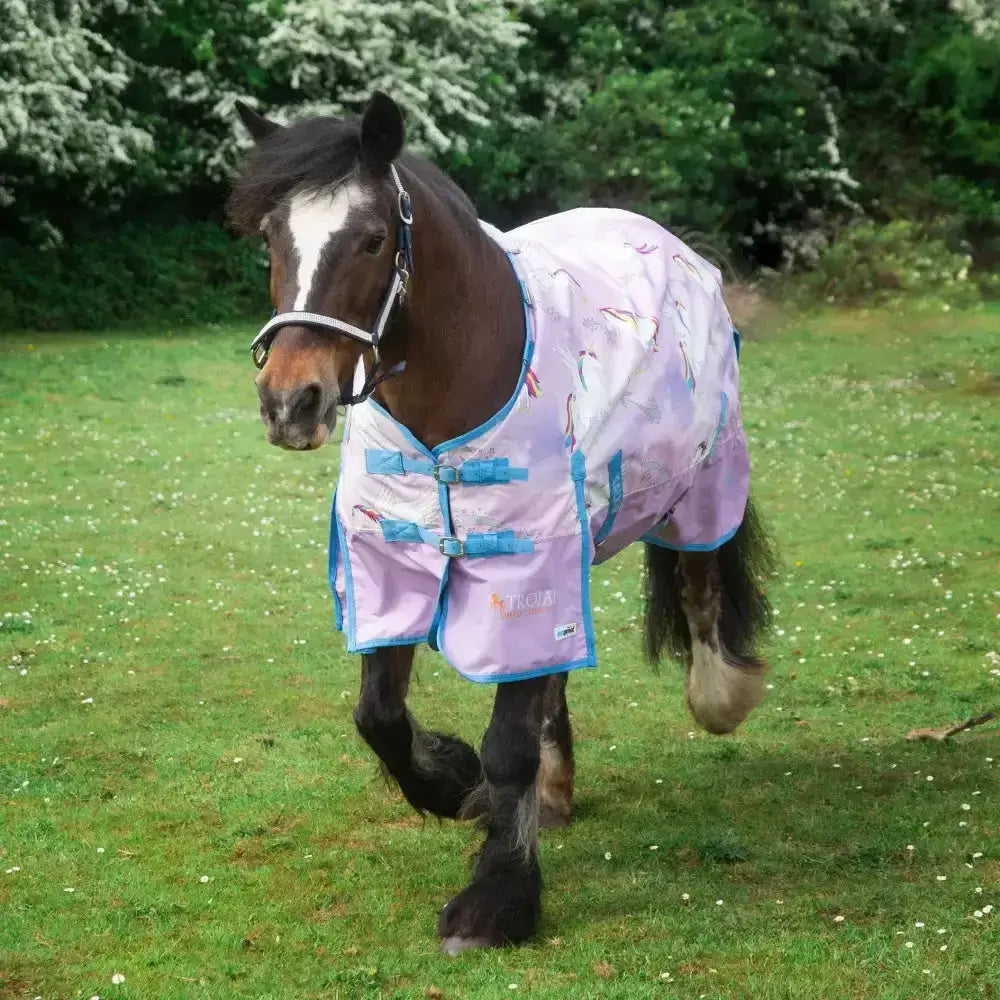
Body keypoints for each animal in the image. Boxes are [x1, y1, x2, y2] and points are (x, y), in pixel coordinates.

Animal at [227, 91, 774, 954]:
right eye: (271, 238)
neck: (459, 389)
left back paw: (720, 695)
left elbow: (509, 741)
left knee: (699, 583)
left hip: (699, 485)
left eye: (372, 238)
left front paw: (496, 898)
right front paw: (454, 783)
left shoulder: (528, 565)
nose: (291, 401)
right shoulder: (395, 559)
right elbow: (379, 716)